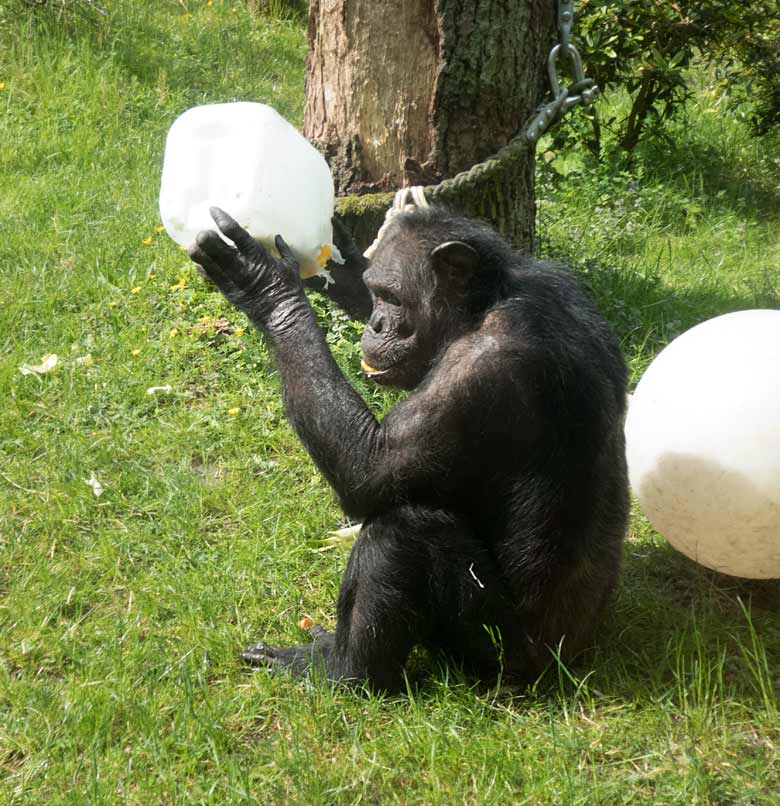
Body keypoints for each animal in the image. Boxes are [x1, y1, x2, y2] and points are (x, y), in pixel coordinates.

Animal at [190, 205, 632, 692]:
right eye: (377, 294)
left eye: (394, 299)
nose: (377, 324)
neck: (483, 308)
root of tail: (574, 657)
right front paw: (338, 264)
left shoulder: (480, 373)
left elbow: (369, 468)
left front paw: (262, 282)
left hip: (498, 656)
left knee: (403, 530)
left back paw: (343, 672)